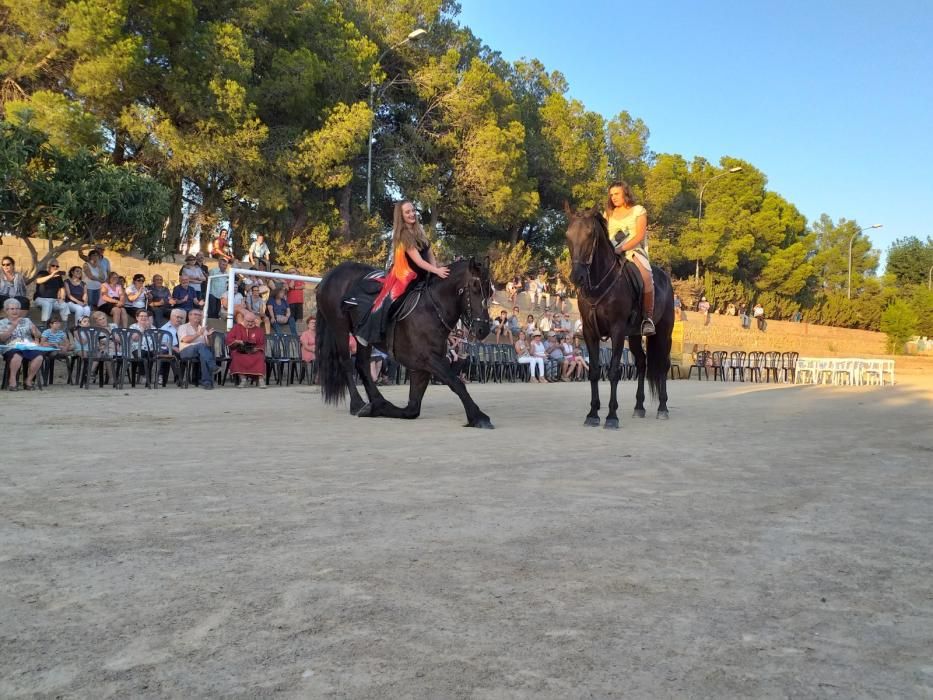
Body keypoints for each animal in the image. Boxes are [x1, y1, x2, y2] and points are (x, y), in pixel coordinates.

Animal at [314, 258, 496, 426]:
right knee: (346, 363)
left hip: (362, 336)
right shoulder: (430, 359)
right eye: (474, 285)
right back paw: (358, 403)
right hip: (340, 328)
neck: (431, 309)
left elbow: (412, 409)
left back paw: (377, 401)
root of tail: (330, 275)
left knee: (362, 364)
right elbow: (456, 382)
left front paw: (379, 408)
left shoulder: (421, 368)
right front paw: (478, 416)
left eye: (489, 291)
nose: (484, 329)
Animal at [564, 206, 672, 426]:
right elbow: (594, 371)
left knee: (663, 365)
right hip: (635, 335)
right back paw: (639, 406)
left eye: (590, 234)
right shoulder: (590, 332)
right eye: (568, 235)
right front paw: (593, 413)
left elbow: (614, 371)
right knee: (642, 363)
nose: (577, 276)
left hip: (664, 332)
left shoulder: (617, 330)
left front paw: (611, 416)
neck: (599, 284)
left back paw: (663, 408)